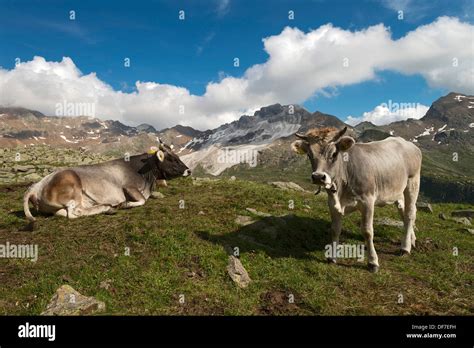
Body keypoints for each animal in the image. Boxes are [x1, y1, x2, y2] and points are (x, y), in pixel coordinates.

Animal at [23, 141, 191, 220]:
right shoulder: (128, 187)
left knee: (63, 213)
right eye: (172, 159)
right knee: (75, 212)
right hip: (72, 186)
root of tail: (37, 186)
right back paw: (108, 207)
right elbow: (143, 200)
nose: (189, 170)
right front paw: (125, 204)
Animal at [292, 126, 422, 274]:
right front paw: (332, 258)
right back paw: (411, 240)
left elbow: (367, 231)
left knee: (410, 214)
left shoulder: (367, 201)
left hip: (413, 182)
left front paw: (373, 262)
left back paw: (405, 248)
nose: (318, 177)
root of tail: (407, 143)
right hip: (396, 191)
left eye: (334, 154)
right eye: (309, 155)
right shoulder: (332, 204)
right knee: (404, 213)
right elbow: (335, 229)